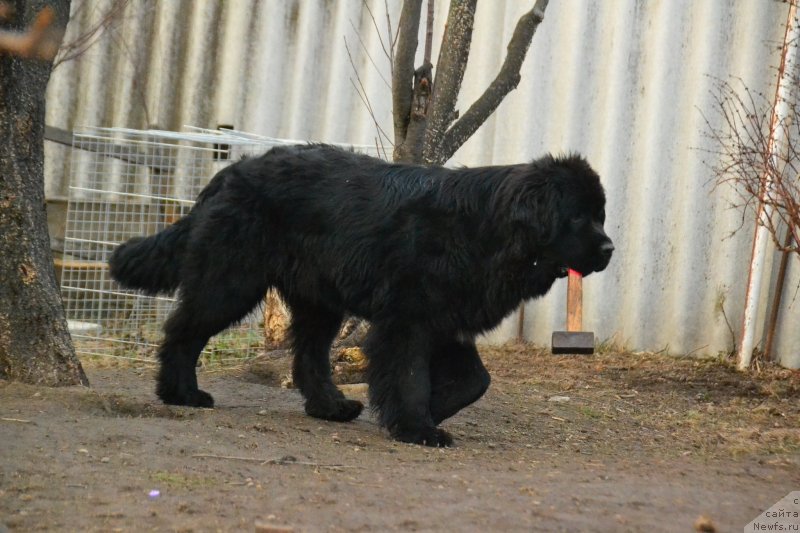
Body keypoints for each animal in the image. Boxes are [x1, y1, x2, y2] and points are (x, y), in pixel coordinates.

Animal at [111, 143, 612, 446]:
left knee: (307, 356)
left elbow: (475, 381)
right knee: (183, 331)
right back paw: (180, 393)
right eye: (578, 216)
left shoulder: (445, 318)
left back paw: (329, 407)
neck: (488, 231)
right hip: (231, 280)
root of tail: (232, 171)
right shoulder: (408, 319)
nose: (609, 249)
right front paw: (416, 426)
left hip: (319, 299)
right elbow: (409, 375)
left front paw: (427, 411)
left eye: (600, 215)